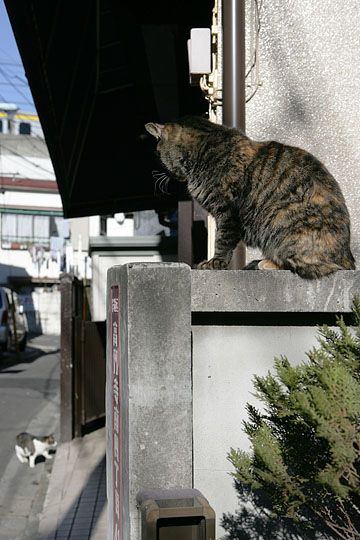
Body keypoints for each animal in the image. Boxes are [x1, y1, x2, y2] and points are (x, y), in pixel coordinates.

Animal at [146, 116, 354, 280]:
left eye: (158, 153)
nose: (164, 174)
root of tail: (348, 257)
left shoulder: (227, 211)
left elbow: (222, 240)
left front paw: (215, 262)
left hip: (282, 221)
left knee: (306, 265)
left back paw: (265, 263)